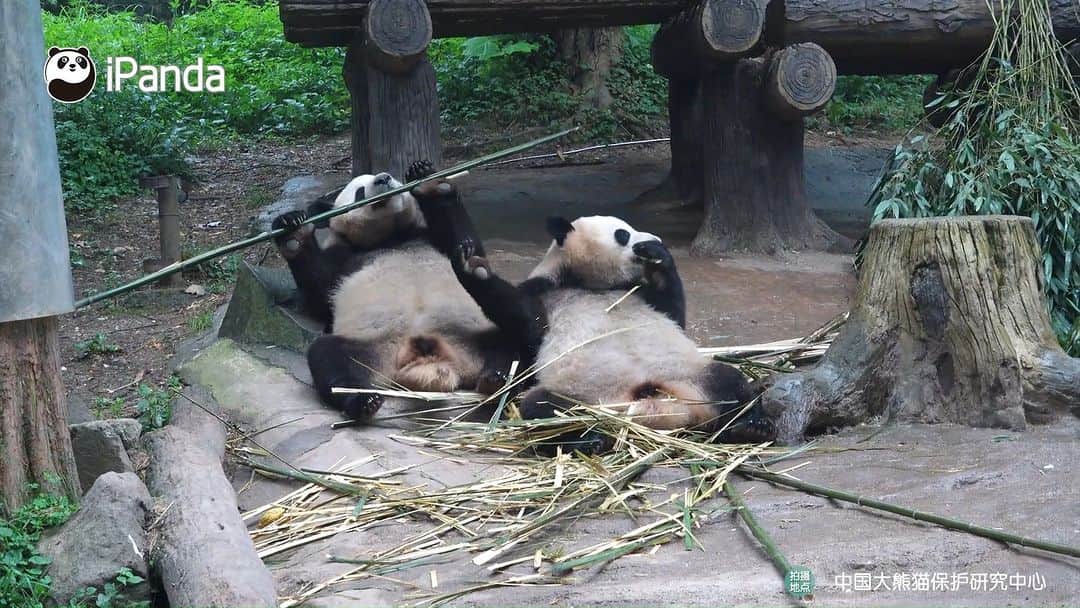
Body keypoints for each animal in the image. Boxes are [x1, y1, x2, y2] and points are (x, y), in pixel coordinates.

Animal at [271, 163, 518, 424]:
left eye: (394, 178)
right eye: (359, 191)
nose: (383, 179)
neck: (391, 237)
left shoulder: (428, 238)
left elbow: (468, 246)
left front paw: (431, 183)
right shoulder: (344, 258)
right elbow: (319, 294)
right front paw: (293, 232)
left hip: (472, 335)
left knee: (508, 345)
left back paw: (496, 381)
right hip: (370, 348)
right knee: (329, 358)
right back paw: (363, 401)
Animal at [410, 178, 776, 452]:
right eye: (622, 233)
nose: (651, 239)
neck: (587, 282)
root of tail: (650, 405)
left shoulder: (638, 293)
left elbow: (673, 312)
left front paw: (658, 255)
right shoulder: (544, 292)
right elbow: (525, 323)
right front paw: (473, 266)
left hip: (688, 375)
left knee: (729, 381)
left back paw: (751, 427)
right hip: (581, 394)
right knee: (544, 409)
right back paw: (589, 440)